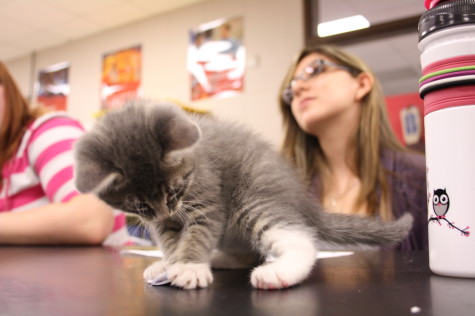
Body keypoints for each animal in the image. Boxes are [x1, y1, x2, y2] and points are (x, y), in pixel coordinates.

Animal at [73, 100, 412, 290]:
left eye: (175, 189)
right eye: (139, 206)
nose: (167, 211)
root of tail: (302, 198)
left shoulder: (207, 195)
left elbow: (199, 231)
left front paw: (190, 266)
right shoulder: (161, 221)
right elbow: (170, 241)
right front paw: (170, 263)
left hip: (253, 199)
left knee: (299, 239)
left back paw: (279, 273)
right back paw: (222, 258)